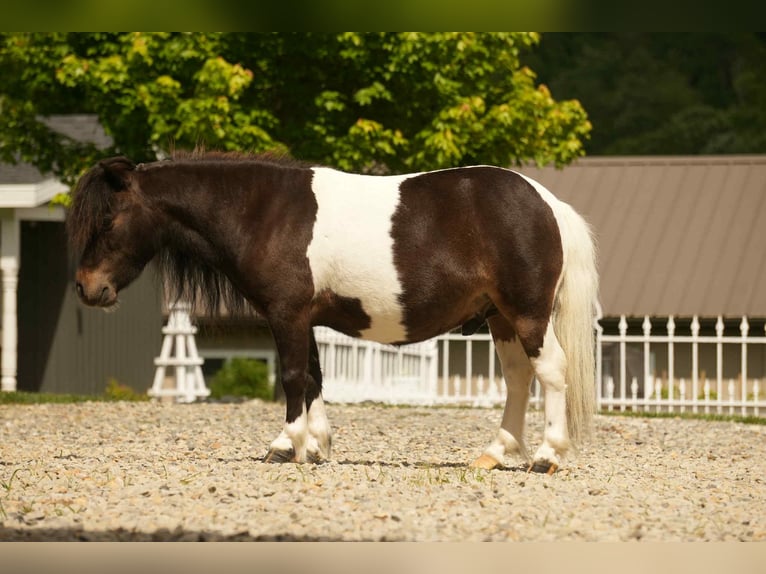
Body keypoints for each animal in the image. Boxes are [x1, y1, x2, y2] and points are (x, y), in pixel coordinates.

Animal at [67, 151, 598, 473]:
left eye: (108, 219)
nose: (86, 287)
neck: (263, 212)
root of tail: (547, 202)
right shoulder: (304, 318)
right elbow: (314, 378)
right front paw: (317, 445)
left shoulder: (286, 314)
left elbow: (293, 378)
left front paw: (286, 445)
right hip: (500, 318)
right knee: (518, 379)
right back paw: (494, 453)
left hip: (526, 314)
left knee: (550, 372)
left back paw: (547, 456)